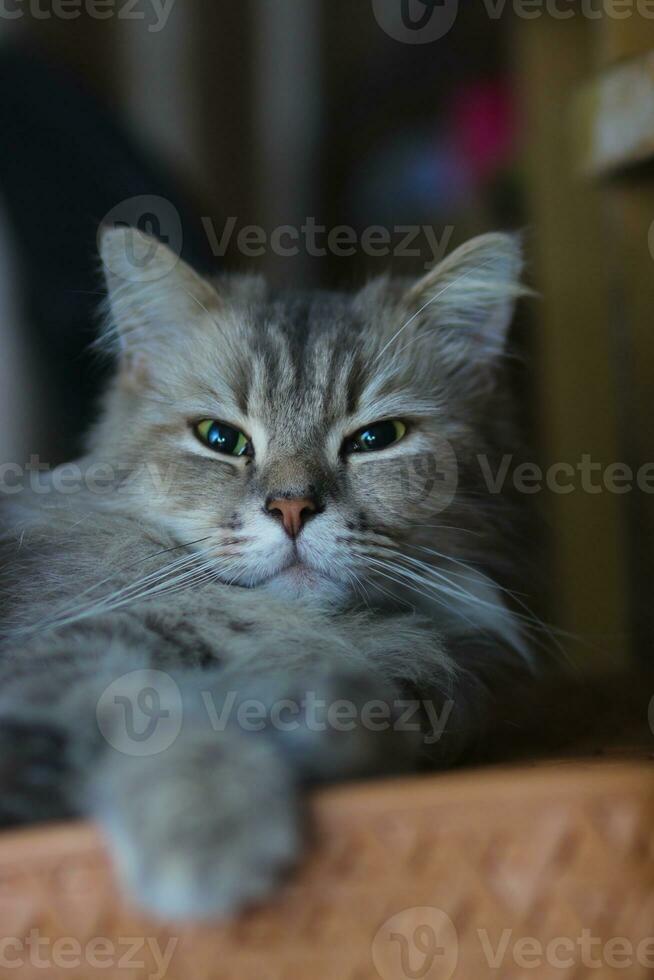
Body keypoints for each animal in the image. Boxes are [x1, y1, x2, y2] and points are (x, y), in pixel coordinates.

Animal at [0, 228, 532, 920]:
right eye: (220, 438)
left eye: (376, 439)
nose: (292, 509)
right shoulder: (53, 659)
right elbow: (155, 707)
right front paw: (206, 822)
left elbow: (366, 711)